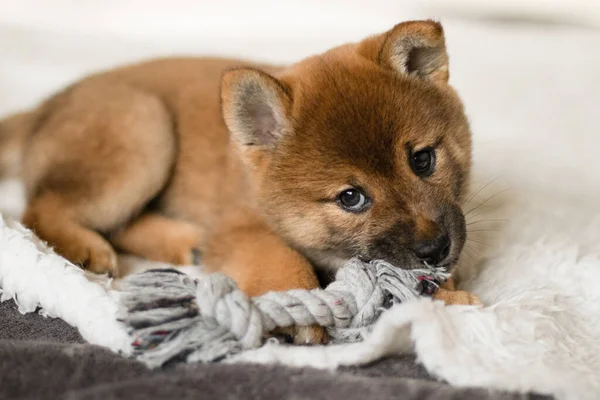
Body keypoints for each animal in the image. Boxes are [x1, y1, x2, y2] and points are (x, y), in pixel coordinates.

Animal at [0, 20, 478, 342]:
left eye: (422, 160)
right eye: (351, 197)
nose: (435, 249)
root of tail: (46, 106)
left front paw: (446, 296)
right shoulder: (245, 228)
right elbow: (285, 262)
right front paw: (301, 312)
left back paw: (184, 240)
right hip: (144, 130)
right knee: (42, 207)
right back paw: (85, 246)